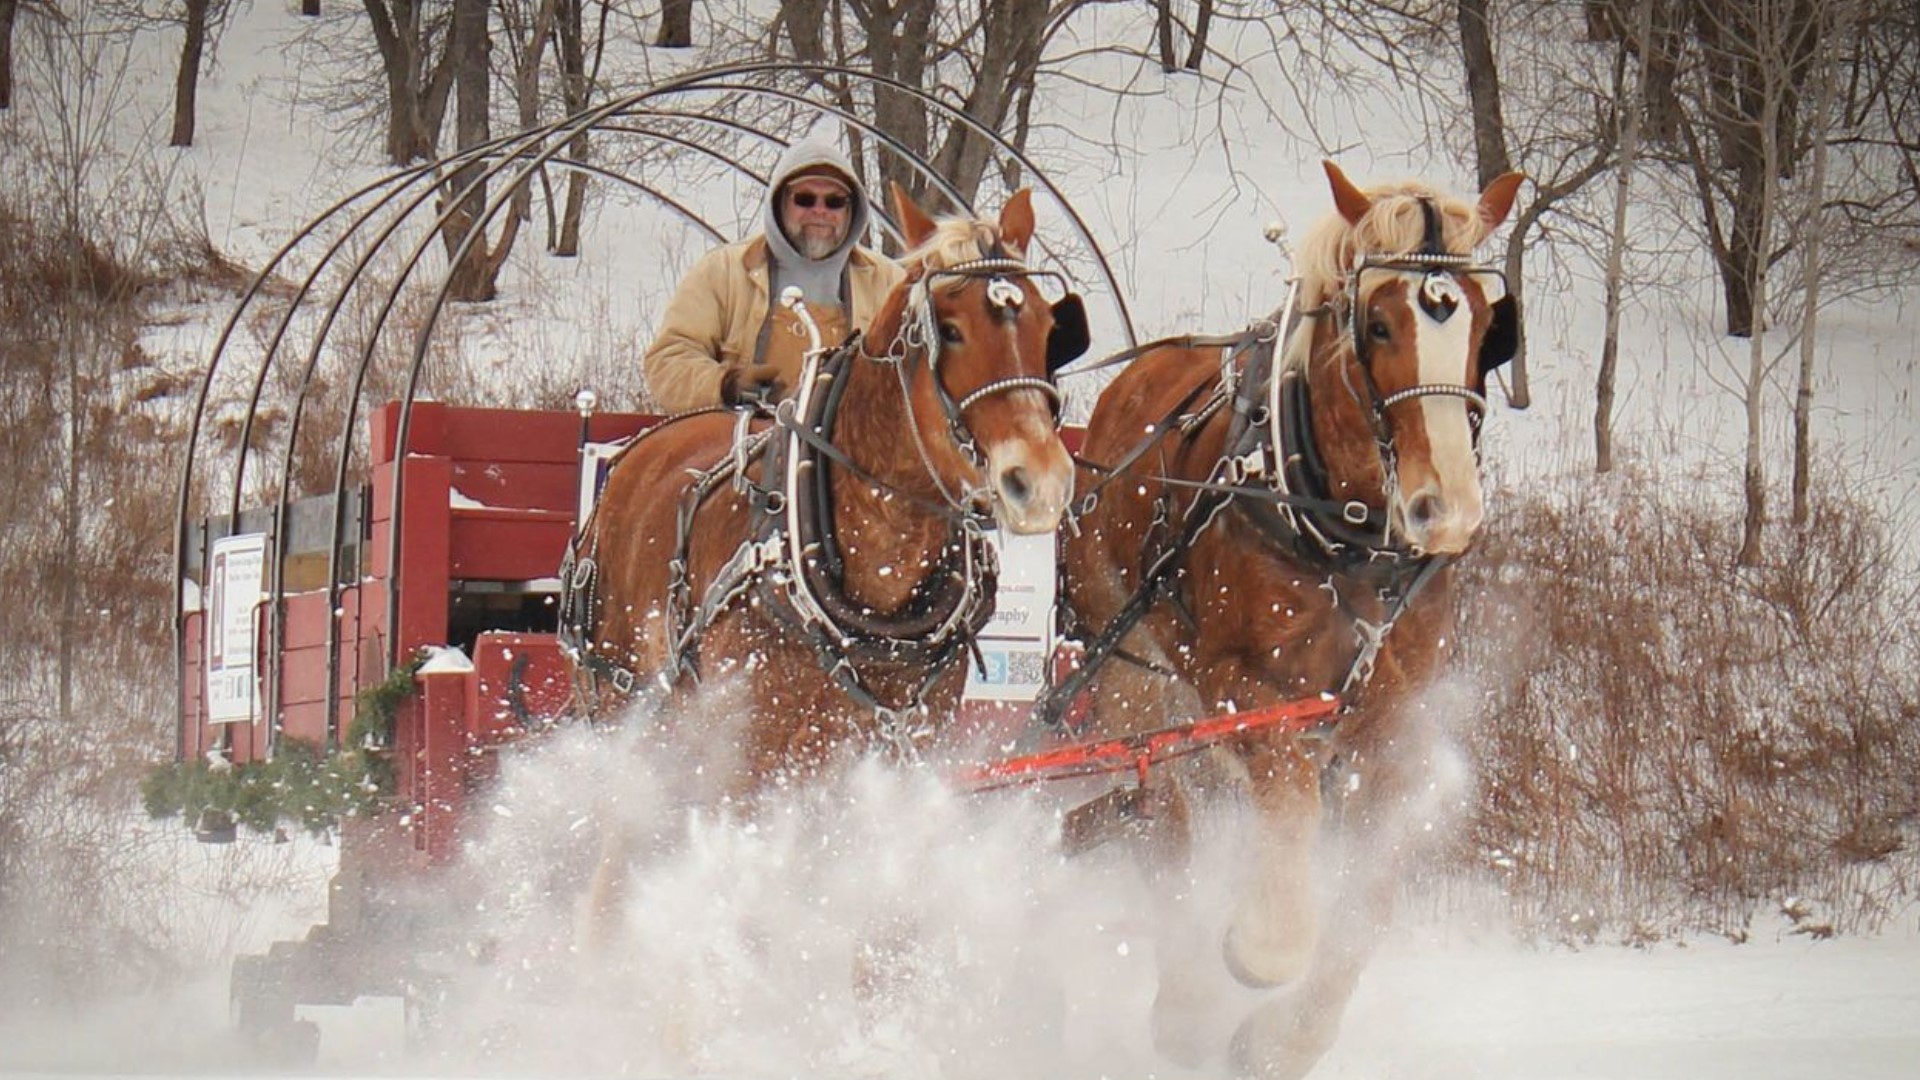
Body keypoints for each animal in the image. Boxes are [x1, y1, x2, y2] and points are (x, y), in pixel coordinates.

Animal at [568, 182, 1082, 914]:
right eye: (951, 329)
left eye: (1044, 329)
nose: (1040, 482)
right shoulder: (750, 755)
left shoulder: (901, 745)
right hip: (628, 705)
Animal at [1059, 161, 1520, 1076]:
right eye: (1378, 323)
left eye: (1489, 326)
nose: (1446, 508)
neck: (1343, 535)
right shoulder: (1239, 686)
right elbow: (1287, 806)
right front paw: (1259, 948)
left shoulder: (1391, 722)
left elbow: (1370, 896)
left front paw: (1280, 1040)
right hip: (1126, 666)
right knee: (1162, 816)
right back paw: (1185, 1006)